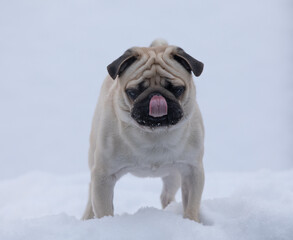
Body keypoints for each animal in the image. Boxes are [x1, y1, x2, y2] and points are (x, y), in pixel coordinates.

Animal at [82, 39, 204, 221]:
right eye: (133, 92)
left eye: (177, 89)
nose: (156, 96)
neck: (154, 135)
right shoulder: (103, 176)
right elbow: (104, 210)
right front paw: (107, 223)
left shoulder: (192, 171)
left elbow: (191, 206)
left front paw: (190, 222)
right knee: (91, 195)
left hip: (173, 175)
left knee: (166, 195)